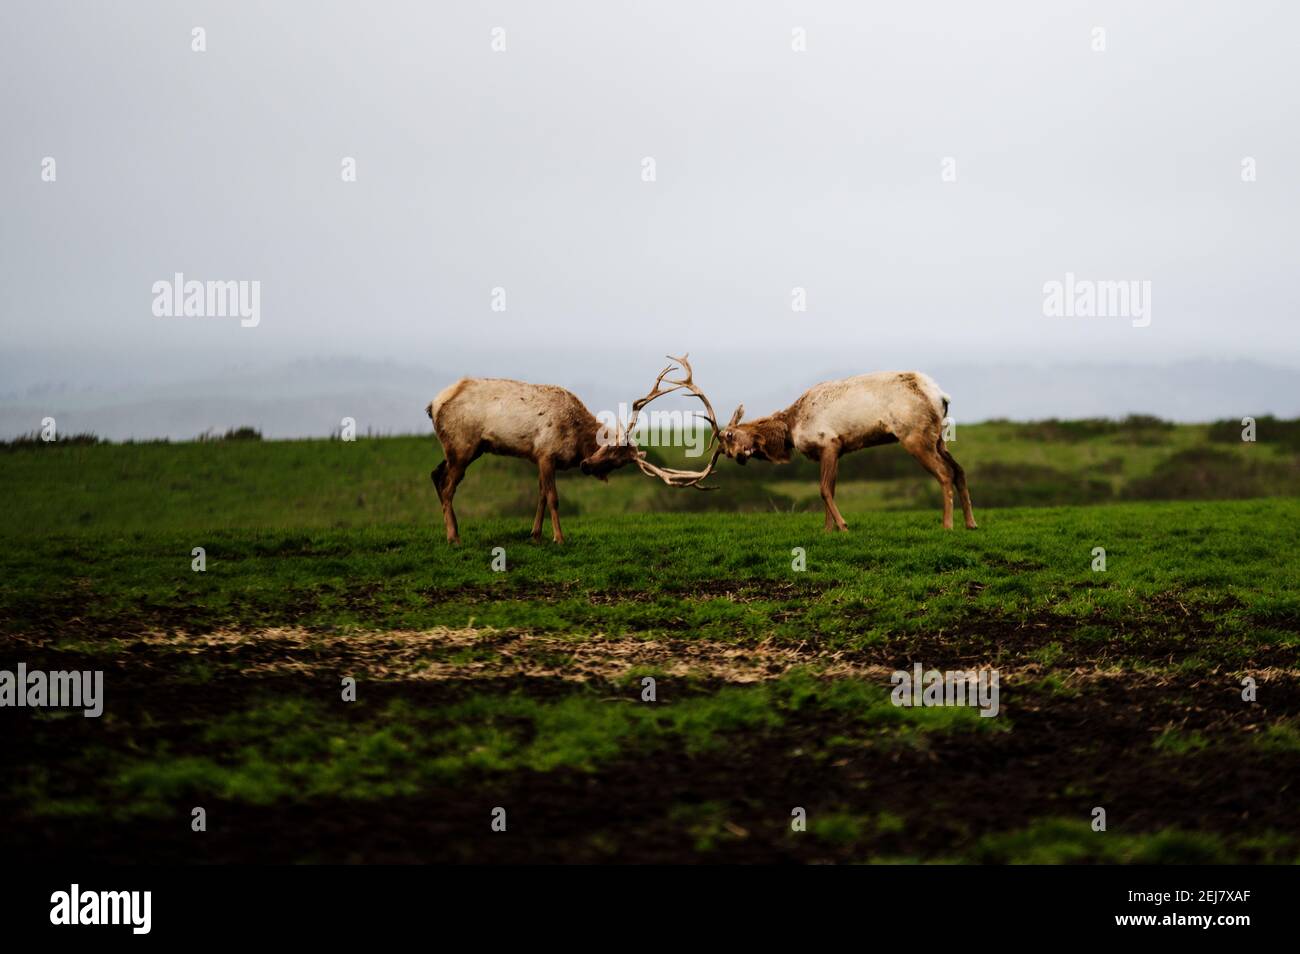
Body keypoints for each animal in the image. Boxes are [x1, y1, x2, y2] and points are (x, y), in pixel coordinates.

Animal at [426, 355, 723, 544]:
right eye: (610, 447)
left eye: (619, 463)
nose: (585, 465)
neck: (576, 437)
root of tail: (433, 405)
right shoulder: (545, 453)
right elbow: (553, 497)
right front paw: (559, 537)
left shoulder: (541, 458)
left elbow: (541, 496)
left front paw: (536, 535)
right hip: (462, 445)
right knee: (448, 486)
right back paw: (454, 537)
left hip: (463, 449)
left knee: (436, 475)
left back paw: (450, 531)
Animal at [715, 371, 976, 531]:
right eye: (725, 452)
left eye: (729, 436)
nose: (738, 457)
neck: (791, 428)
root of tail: (942, 397)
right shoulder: (838, 449)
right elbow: (830, 489)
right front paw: (827, 529)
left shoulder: (828, 442)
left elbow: (823, 490)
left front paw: (842, 526)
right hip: (939, 438)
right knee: (960, 470)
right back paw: (970, 523)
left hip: (915, 436)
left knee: (945, 473)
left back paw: (947, 525)